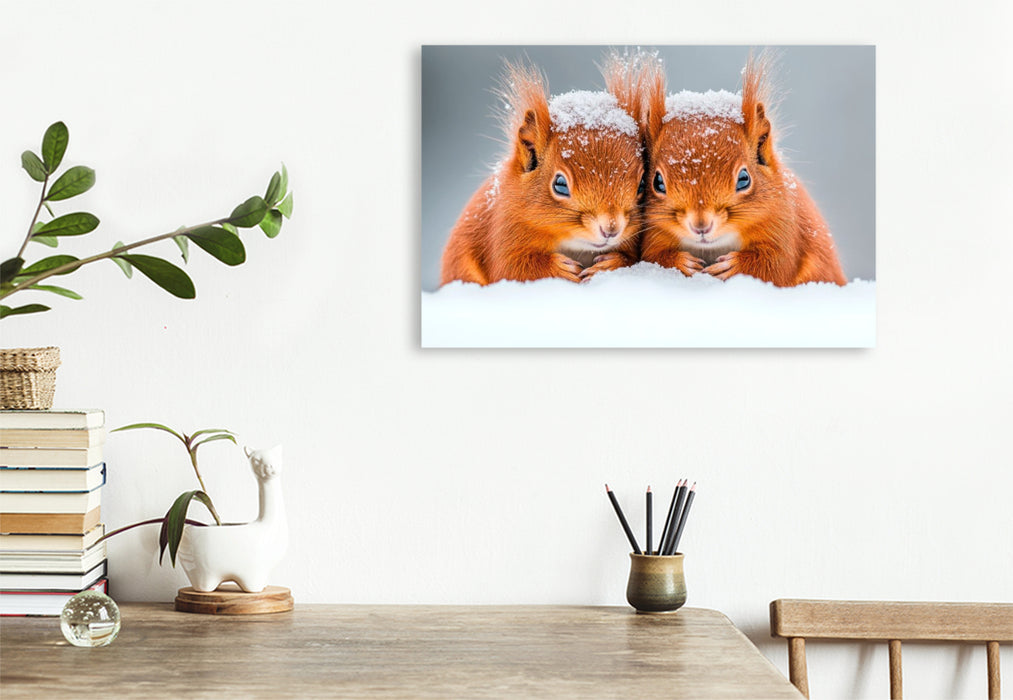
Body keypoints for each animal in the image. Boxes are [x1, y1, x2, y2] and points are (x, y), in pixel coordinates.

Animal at [439, 62, 645, 286]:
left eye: (642, 184)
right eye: (560, 185)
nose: (611, 228)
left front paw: (610, 264)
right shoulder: (504, 231)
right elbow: (511, 268)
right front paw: (559, 269)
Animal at [611, 52, 847, 287]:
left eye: (744, 179)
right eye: (657, 182)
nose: (701, 226)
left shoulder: (785, 227)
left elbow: (776, 264)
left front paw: (734, 266)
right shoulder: (654, 235)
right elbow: (654, 257)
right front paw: (681, 262)